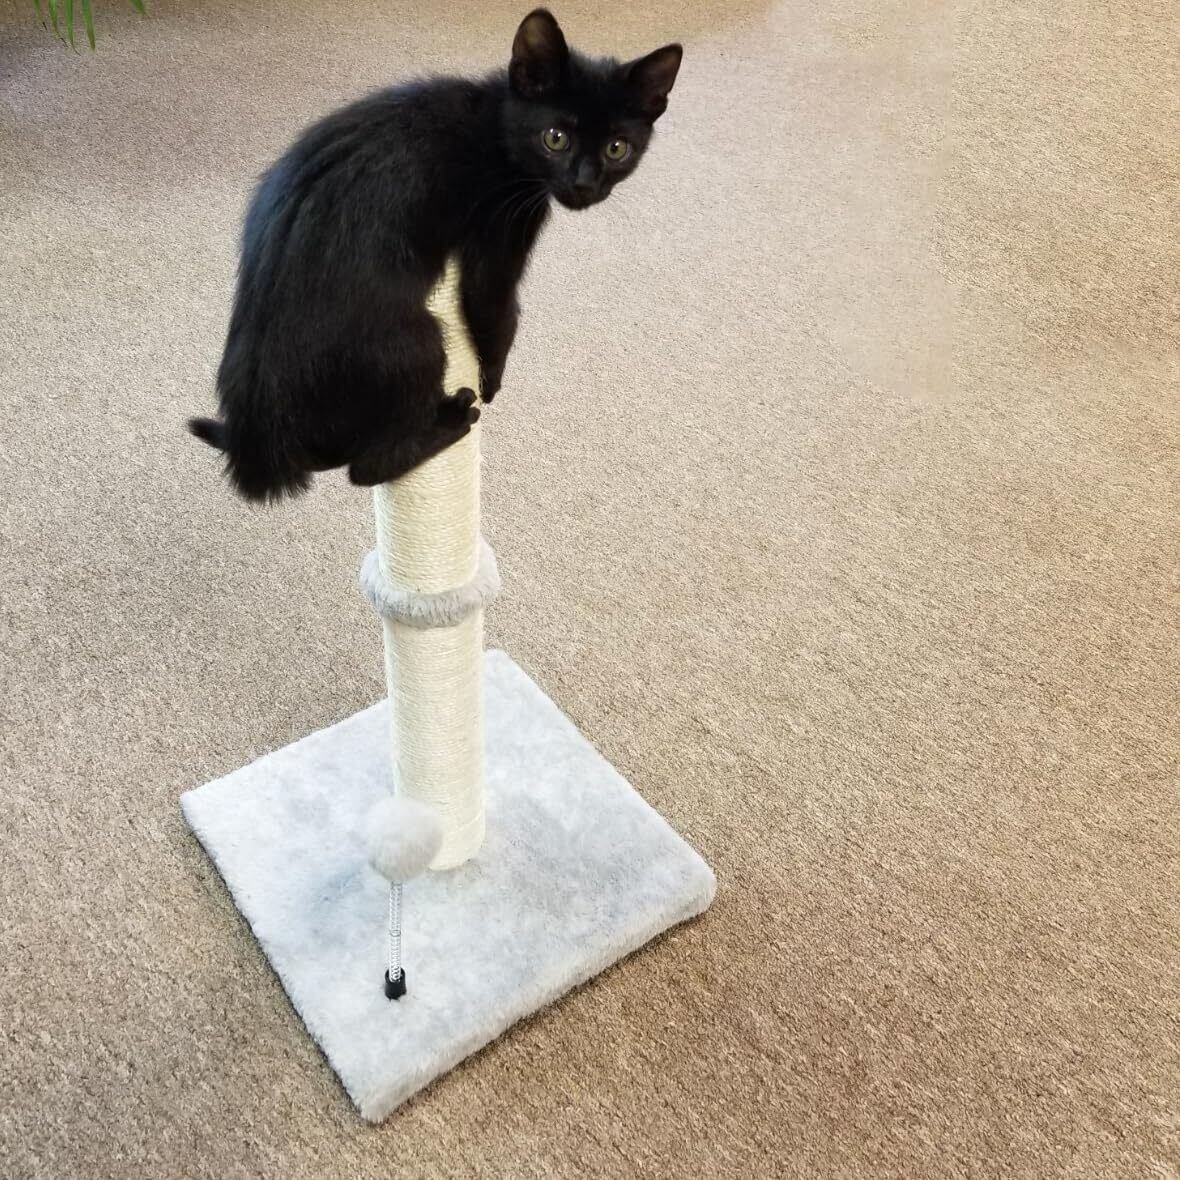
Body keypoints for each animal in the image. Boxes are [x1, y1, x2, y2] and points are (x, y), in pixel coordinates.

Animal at [188, 8, 682, 501]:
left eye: (617, 148)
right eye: (555, 138)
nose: (584, 184)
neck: (496, 123)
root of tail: (262, 436)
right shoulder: (500, 226)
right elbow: (493, 308)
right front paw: (492, 382)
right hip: (414, 342)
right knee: (365, 467)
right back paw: (450, 422)